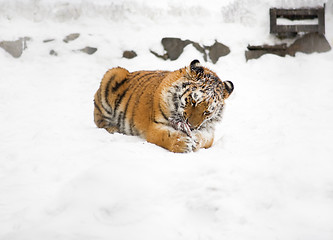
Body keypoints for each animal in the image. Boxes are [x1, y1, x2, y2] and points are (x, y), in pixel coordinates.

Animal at [93, 60, 233, 154]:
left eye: (207, 112)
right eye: (193, 101)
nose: (192, 126)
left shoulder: (209, 130)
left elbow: (204, 138)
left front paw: (195, 140)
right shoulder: (154, 126)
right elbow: (167, 136)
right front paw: (183, 143)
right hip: (113, 74)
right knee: (100, 122)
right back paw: (114, 129)